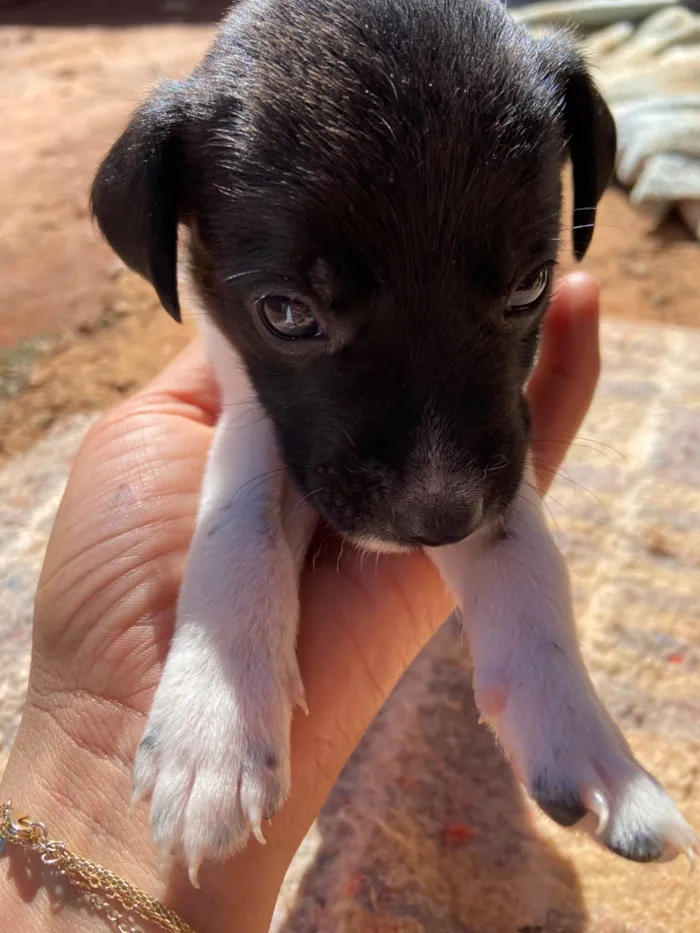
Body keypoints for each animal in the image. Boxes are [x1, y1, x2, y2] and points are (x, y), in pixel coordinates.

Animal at [90, 0, 696, 880]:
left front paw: (583, 736)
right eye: (287, 314)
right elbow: (238, 523)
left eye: (529, 287)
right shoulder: (252, 412)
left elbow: (524, 549)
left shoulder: (501, 455)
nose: (440, 522)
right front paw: (214, 728)